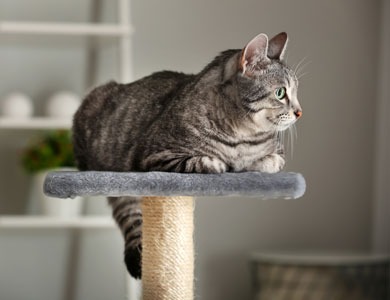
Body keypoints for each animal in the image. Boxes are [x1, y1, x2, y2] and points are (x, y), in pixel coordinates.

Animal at [72, 31, 302, 278]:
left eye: (296, 92)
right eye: (280, 93)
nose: (300, 112)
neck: (241, 134)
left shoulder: (278, 153)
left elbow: (271, 161)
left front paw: (252, 163)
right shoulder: (155, 155)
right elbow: (205, 162)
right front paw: (223, 164)